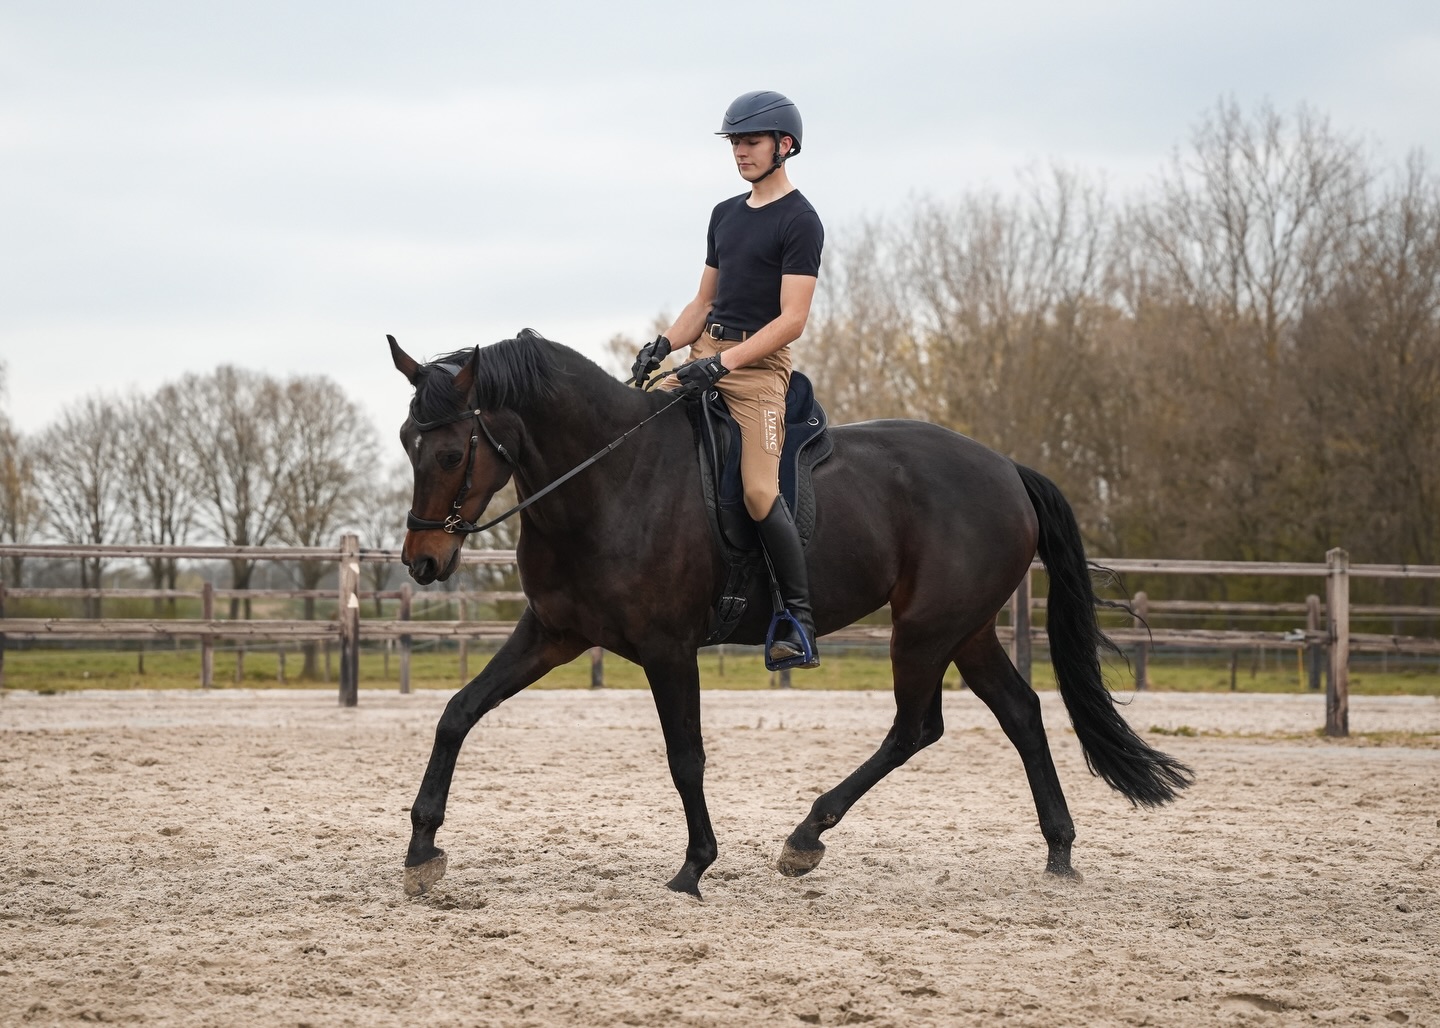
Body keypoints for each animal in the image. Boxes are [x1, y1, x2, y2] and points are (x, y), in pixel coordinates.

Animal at [390, 330, 1192, 898]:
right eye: (406, 442)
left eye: (454, 453)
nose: (422, 561)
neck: (611, 478)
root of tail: (1006, 469)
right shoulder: (552, 634)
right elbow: (458, 712)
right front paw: (422, 847)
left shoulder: (667, 648)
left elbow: (686, 756)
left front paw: (695, 867)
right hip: (964, 628)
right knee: (1020, 711)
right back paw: (1059, 848)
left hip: (925, 629)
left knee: (917, 727)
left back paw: (807, 836)